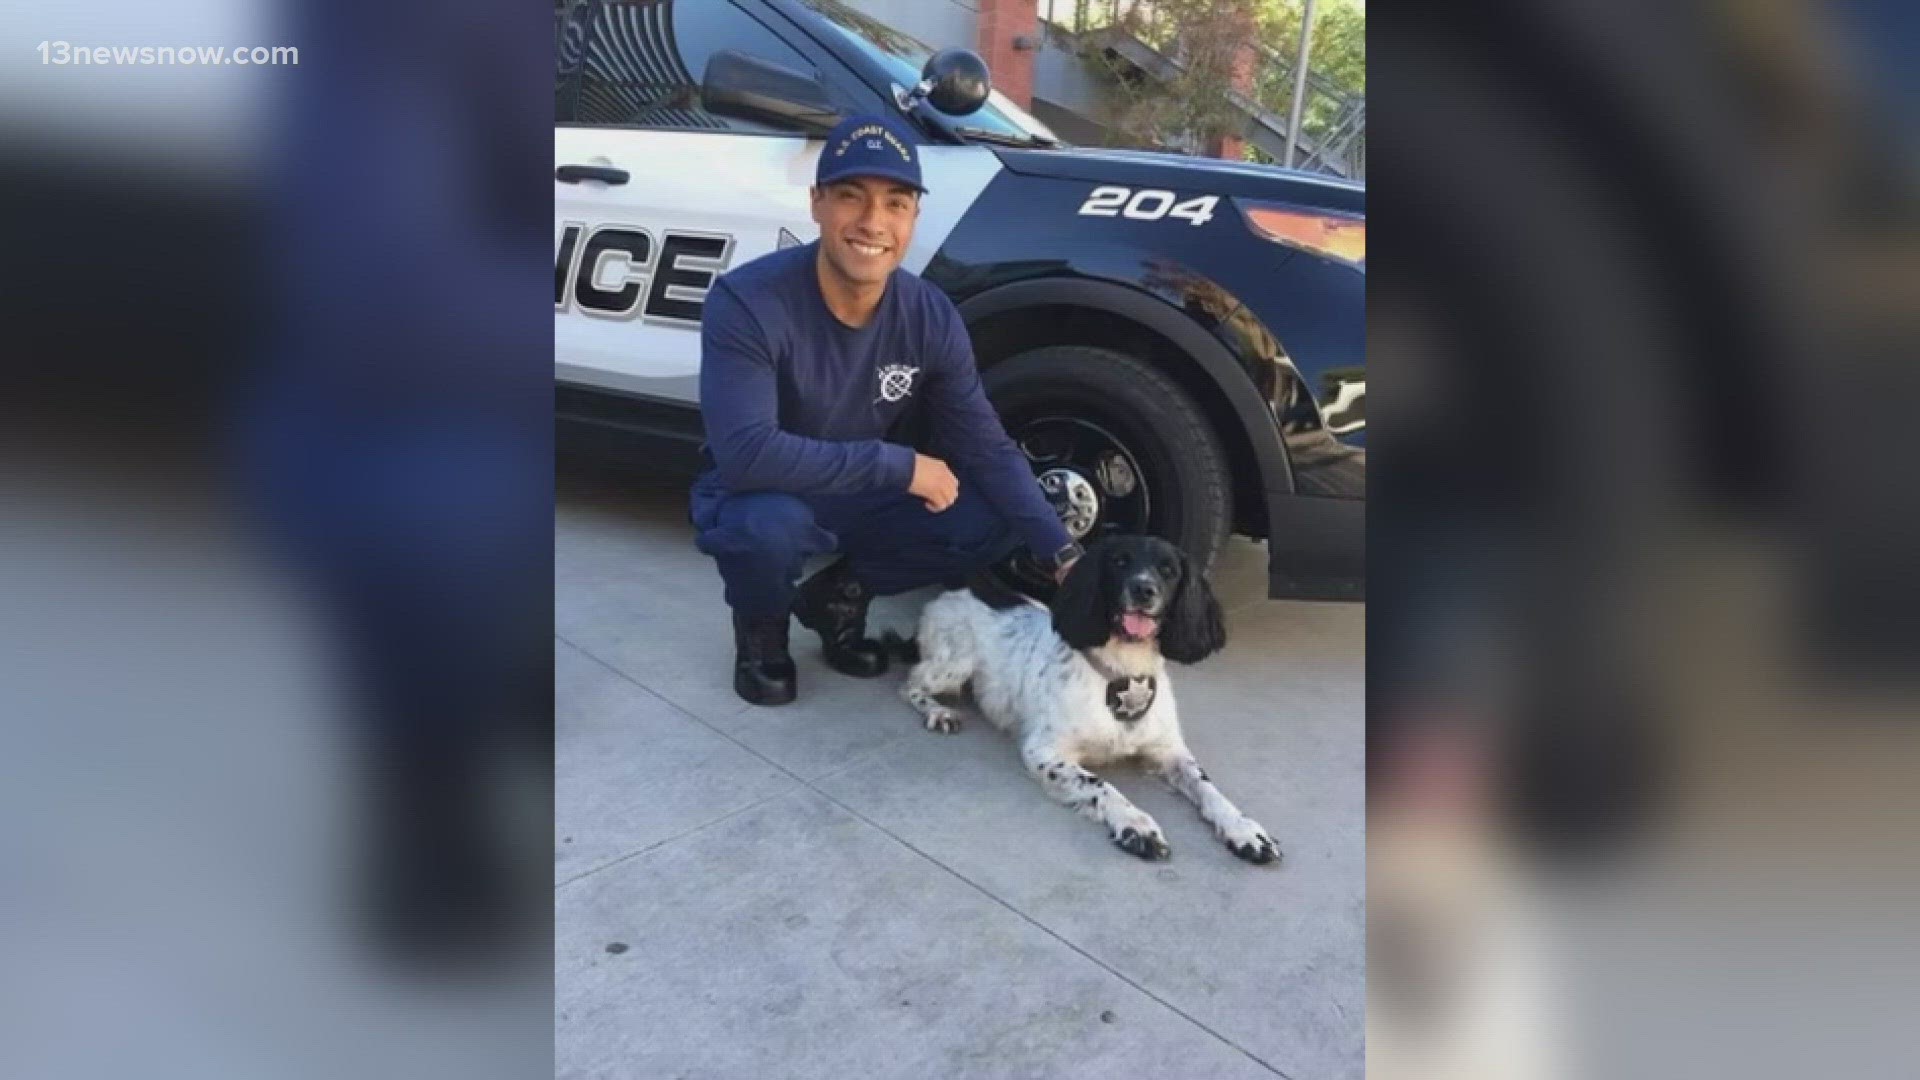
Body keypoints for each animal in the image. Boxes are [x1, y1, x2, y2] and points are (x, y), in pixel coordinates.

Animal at [894, 534, 1274, 860]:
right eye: (1120, 561)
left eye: (1169, 570)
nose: (1143, 589)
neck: (1123, 678)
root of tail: (956, 590)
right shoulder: (1045, 752)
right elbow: (1101, 785)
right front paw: (1136, 825)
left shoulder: (1169, 750)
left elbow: (1207, 787)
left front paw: (1243, 828)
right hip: (953, 664)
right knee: (911, 684)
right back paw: (939, 712)